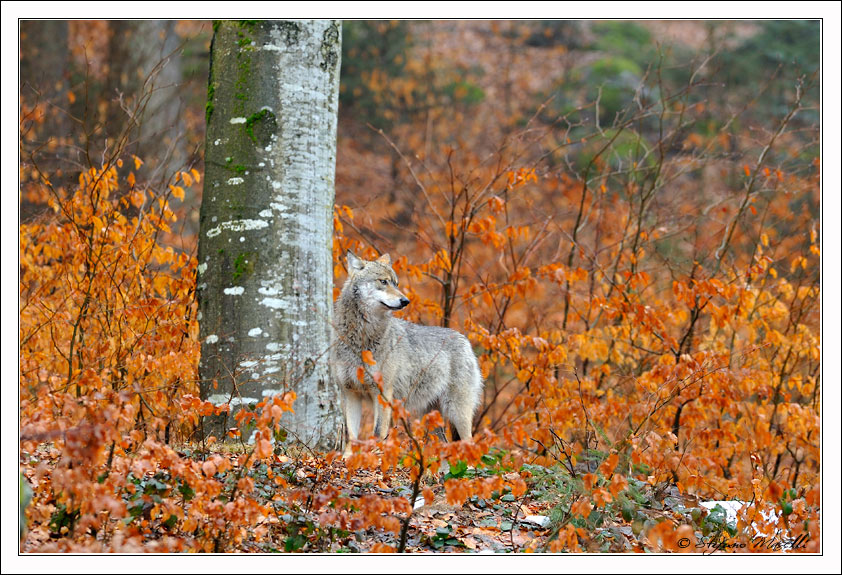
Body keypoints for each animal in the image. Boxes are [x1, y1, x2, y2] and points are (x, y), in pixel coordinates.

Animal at [332, 251, 482, 454]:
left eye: (396, 283)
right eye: (383, 281)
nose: (405, 301)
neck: (360, 339)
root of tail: (465, 340)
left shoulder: (382, 393)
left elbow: (378, 432)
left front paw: (376, 457)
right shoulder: (350, 393)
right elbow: (351, 435)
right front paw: (348, 458)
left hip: (456, 412)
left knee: (470, 443)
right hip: (432, 417)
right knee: (444, 443)